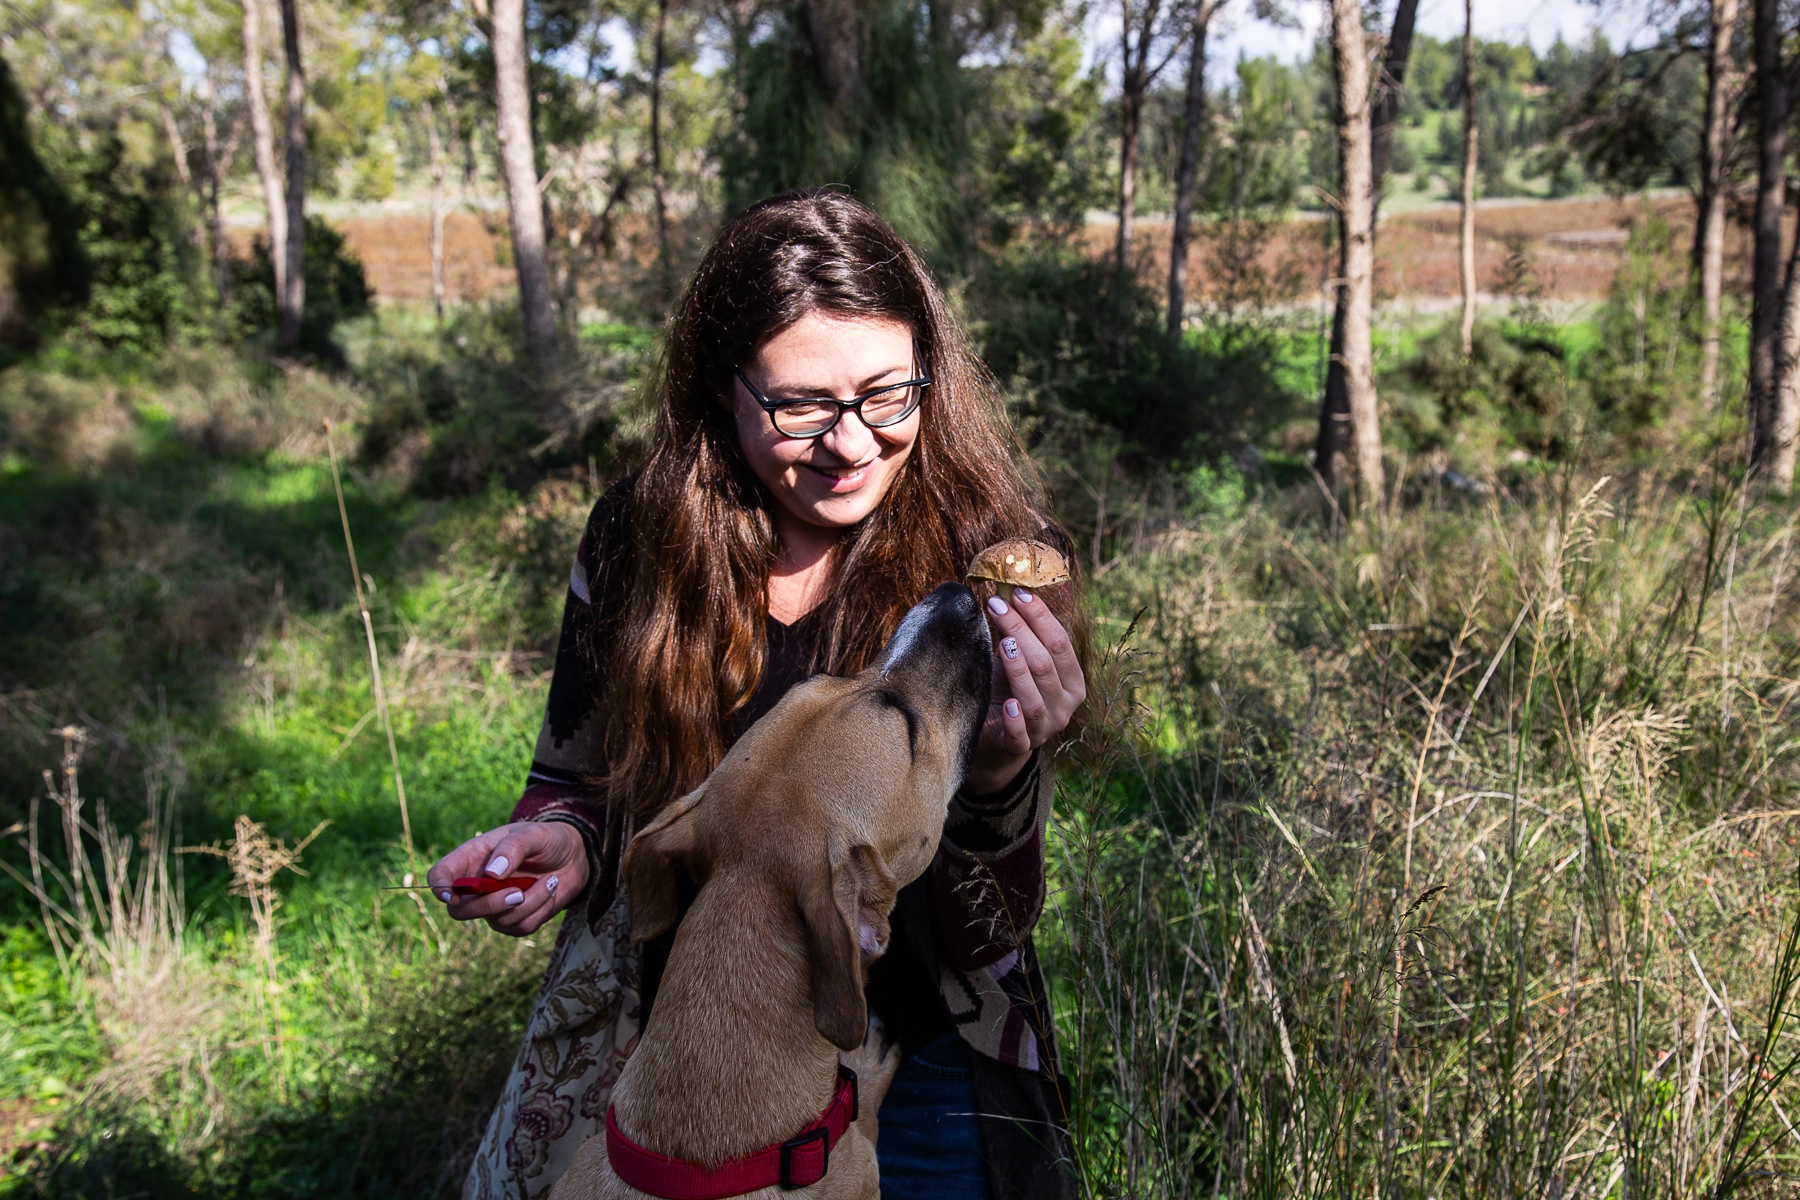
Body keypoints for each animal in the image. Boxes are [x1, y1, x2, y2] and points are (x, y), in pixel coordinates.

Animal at [550, 586, 993, 1200]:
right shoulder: (862, 1164)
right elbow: (869, 1112)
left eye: (830, 673)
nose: (955, 592)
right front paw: (868, 1064)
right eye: (903, 721)